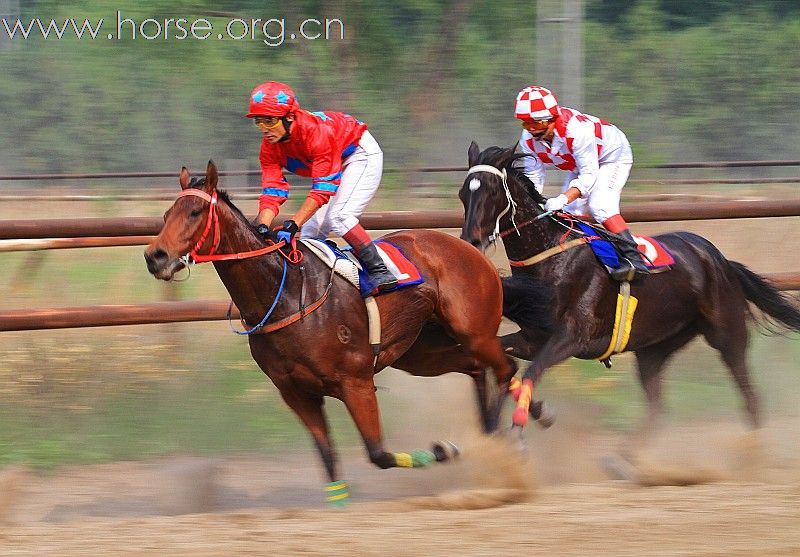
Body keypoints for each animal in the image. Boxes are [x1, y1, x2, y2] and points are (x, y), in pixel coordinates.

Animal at [145, 162, 532, 504]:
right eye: (166, 215)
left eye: (195, 212)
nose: (155, 256)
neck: (286, 294)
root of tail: (471, 247)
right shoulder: (297, 394)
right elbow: (329, 460)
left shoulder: (355, 382)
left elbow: (378, 453)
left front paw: (445, 449)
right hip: (422, 353)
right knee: (477, 368)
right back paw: (492, 433)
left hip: (473, 332)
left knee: (505, 368)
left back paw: (513, 435)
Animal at [456, 143, 800, 444]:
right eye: (463, 193)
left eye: (491, 190)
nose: (471, 242)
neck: (550, 255)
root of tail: (721, 260)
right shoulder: (534, 337)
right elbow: (506, 365)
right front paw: (515, 418)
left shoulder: (573, 337)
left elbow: (531, 371)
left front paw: (519, 429)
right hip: (655, 346)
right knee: (658, 407)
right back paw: (625, 461)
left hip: (727, 334)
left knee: (749, 395)